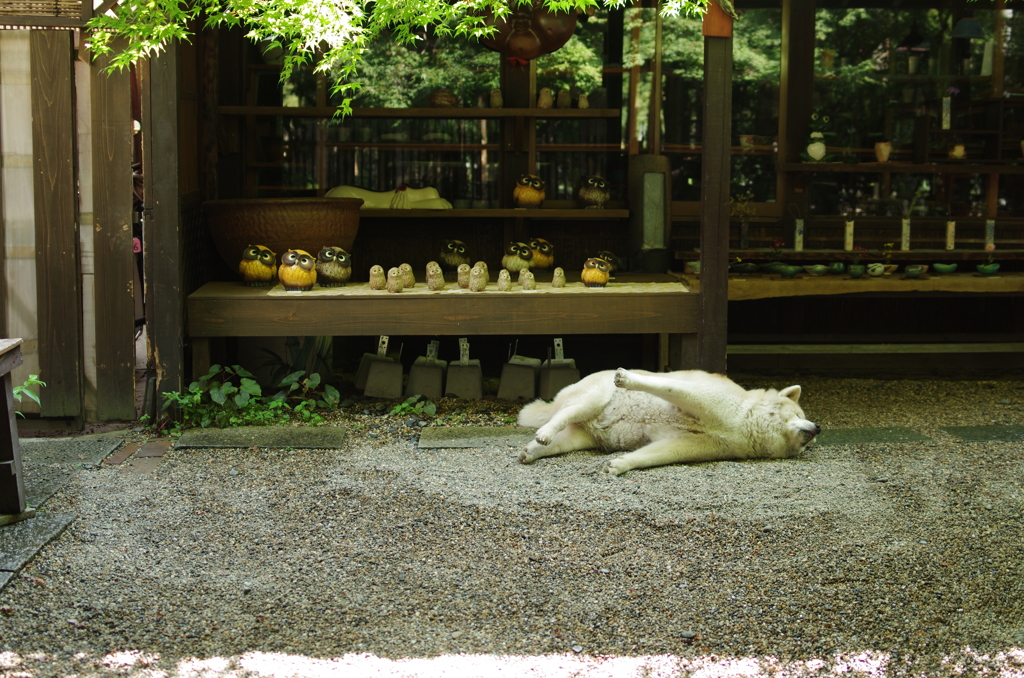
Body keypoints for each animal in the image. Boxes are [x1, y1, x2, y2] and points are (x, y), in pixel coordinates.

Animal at [516, 368, 819, 475]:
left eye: (807, 445)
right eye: (800, 416)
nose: (817, 428)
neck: (746, 421)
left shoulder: (682, 444)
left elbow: (648, 456)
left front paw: (621, 465)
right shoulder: (702, 399)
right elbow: (669, 386)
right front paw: (628, 378)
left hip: (582, 438)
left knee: (557, 442)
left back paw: (532, 451)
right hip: (591, 400)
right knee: (559, 417)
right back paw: (544, 432)